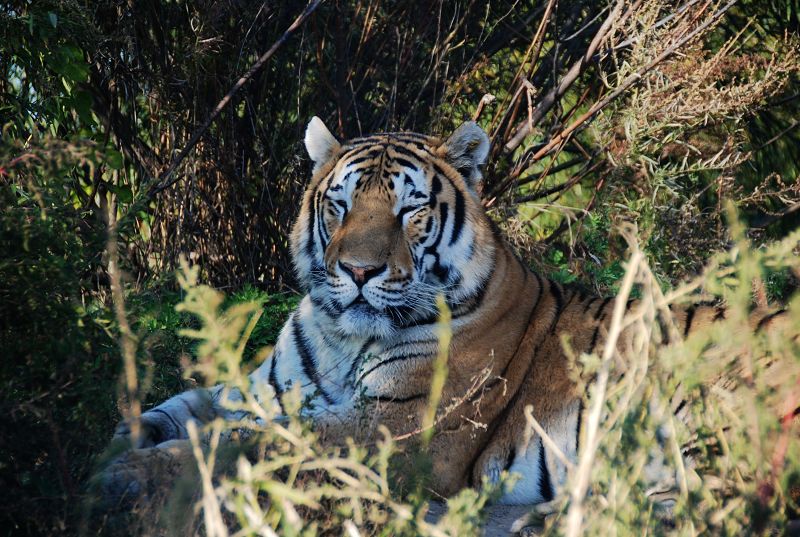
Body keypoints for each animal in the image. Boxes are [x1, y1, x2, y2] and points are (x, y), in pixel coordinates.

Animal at [107, 117, 797, 510]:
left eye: (410, 211)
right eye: (339, 204)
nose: (358, 272)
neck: (342, 336)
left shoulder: (396, 427)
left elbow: (251, 443)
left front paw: (132, 478)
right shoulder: (260, 388)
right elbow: (174, 410)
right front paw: (120, 449)